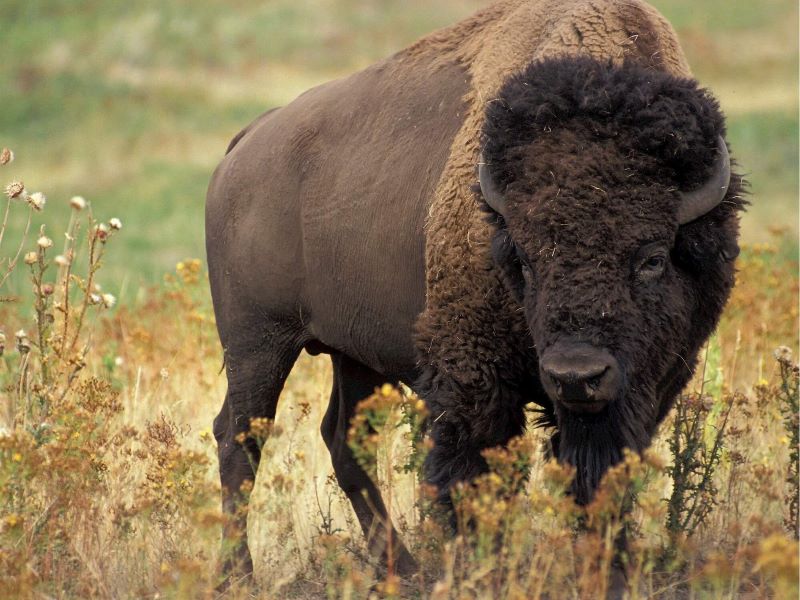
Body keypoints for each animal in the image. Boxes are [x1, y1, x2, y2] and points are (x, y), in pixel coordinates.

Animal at [206, 0, 745, 579]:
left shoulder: (645, 388)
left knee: (342, 438)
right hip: (258, 343)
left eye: (652, 258)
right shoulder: (473, 376)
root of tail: (245, 145)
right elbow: (475, 476)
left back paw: (403, 569)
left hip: (354, 354)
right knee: (240, 438)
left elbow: (601, 478)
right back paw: (239, 573)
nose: (576, 376)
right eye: (524, 260)